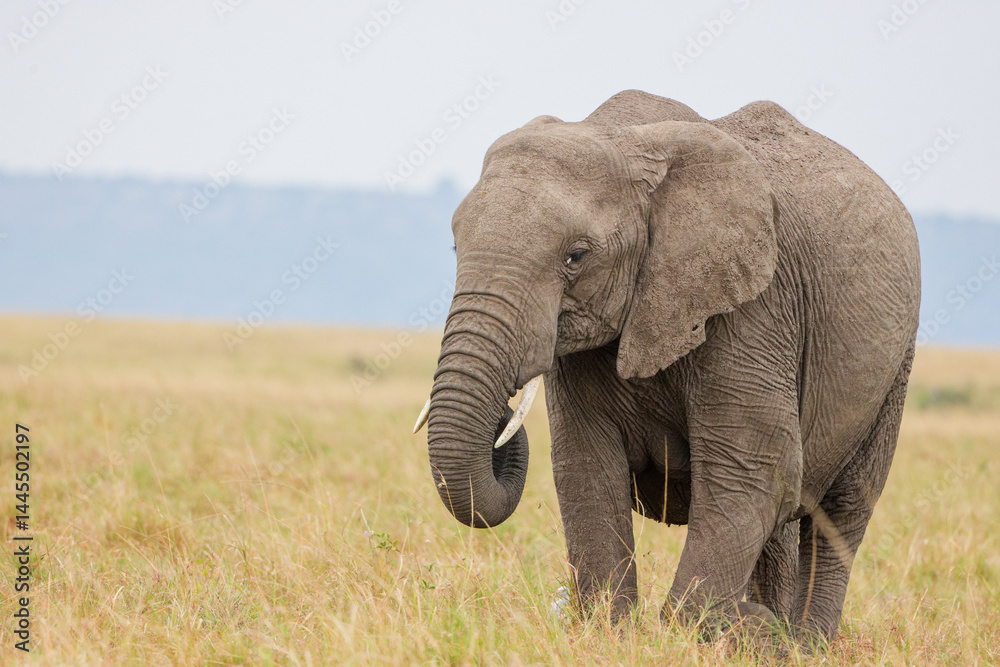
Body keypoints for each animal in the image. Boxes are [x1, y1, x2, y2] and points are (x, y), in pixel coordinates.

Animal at [412, 89, 920, 643]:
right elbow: (586, 467)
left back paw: (805, 643)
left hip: (896, 364)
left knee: (842, 508)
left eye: (576, 256)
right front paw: (610, 632)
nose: (504, 418)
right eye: (456, 245)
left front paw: (710, 633)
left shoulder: (755, 307)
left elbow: (752, 467)